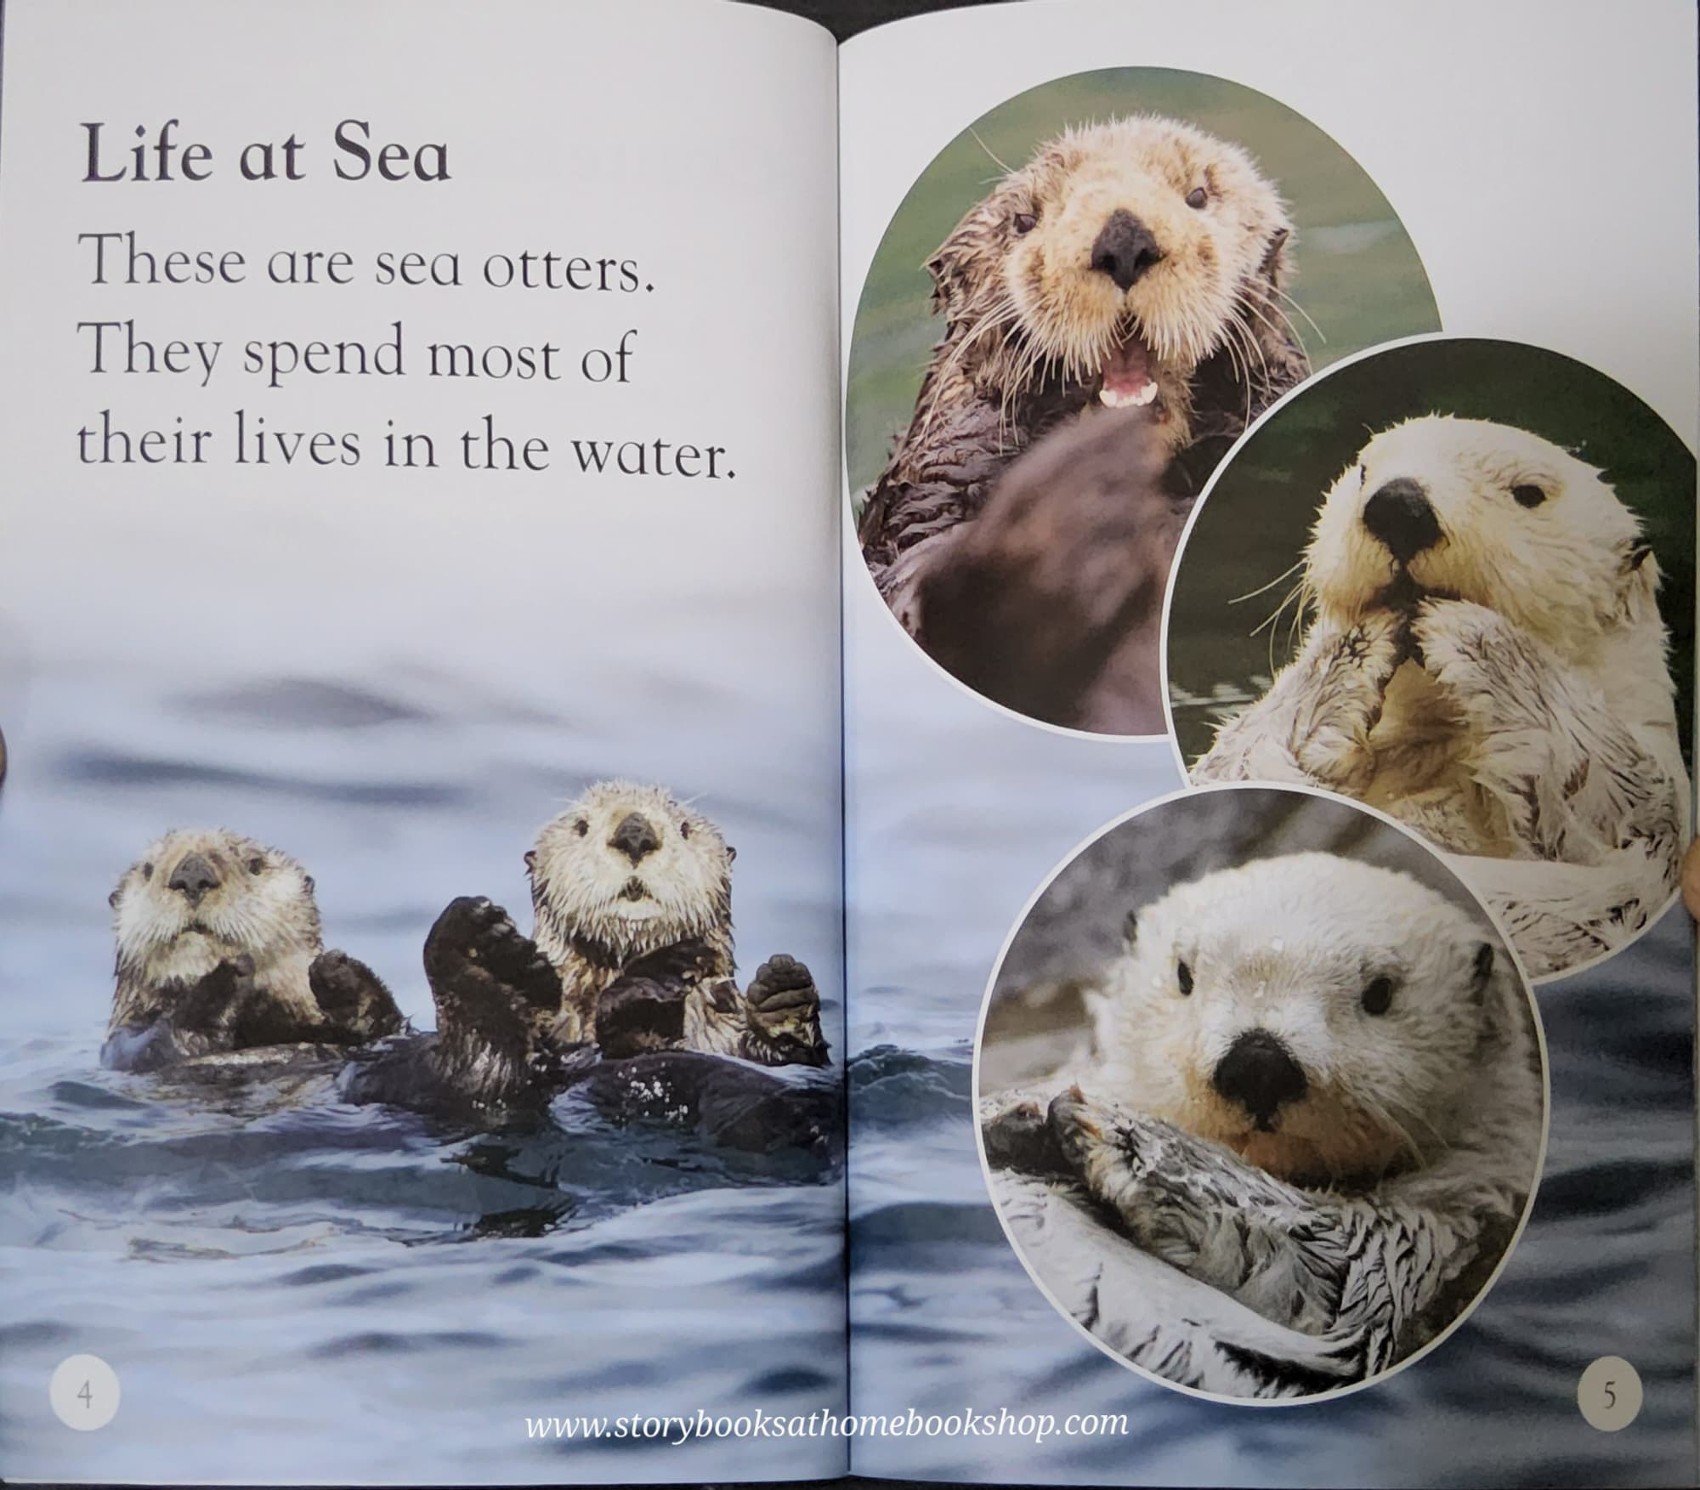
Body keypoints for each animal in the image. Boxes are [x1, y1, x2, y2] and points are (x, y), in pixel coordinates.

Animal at [103, 828, 404, 1072]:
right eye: (147, 870)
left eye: (255, 864)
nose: (192, 875)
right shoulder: (126, 1042)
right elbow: (162, 1042)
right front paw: (226, 982)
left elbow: (386, 1025)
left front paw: (339, 974)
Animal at [981, 852, 1543, 1396]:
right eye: (1183, 975)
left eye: (1381, 993)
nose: (1258, 1062)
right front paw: (1018, 1113)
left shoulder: (1429, 1227)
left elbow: (1323, 1263)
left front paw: (1118, 1135)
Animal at [1190, 416, 1689, 977]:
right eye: (1364, 471)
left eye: (1529, 492)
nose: (1399, 503)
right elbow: (1238, 762)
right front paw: (1356, 643)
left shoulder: (1650, 817)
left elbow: (1613, 794)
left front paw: (1473, 636)